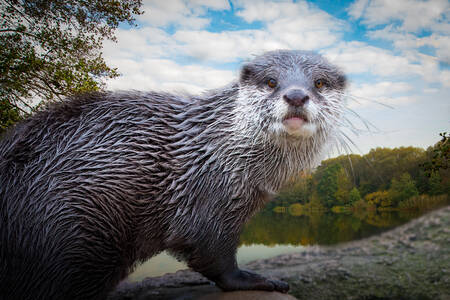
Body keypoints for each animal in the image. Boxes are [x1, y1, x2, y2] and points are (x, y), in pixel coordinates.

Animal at [0, 50, 346, 298]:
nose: (296, 96)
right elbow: (214, 256)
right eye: (271, 81)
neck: (218, 149)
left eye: (319, 83)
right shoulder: (209, 199)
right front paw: (259, 280)